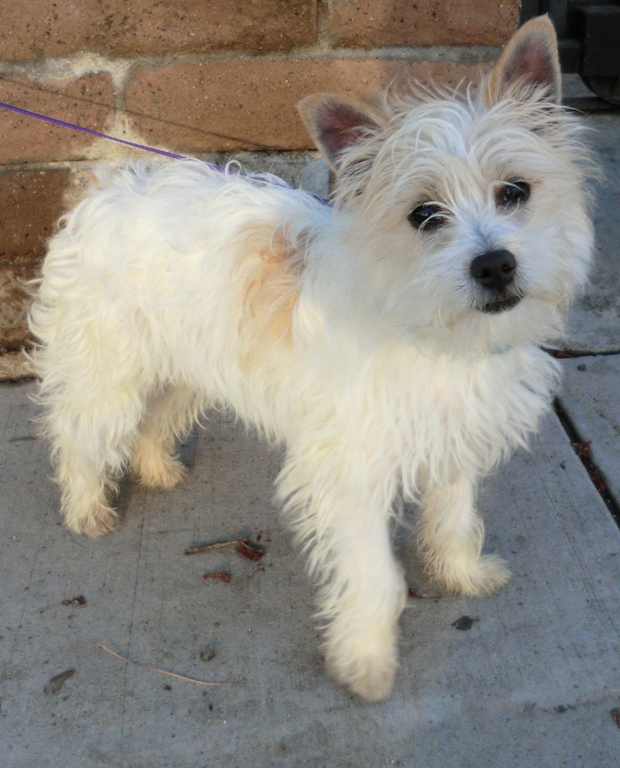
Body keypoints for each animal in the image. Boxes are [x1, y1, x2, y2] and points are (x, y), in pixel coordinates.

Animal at [31, 18, 592, 704]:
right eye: (424, 215)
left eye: (514, 191)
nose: (494, 265)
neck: (430, 329)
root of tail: (108, 188)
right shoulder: (348, 474)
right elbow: (374, 574)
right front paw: (366, 660)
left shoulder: (454, 437)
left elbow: (455, 517)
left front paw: (460, 573)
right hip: (106, 377)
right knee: (80, 435)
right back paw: (85, 507)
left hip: (189, 369)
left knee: (155, 418)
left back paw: (156, 467)